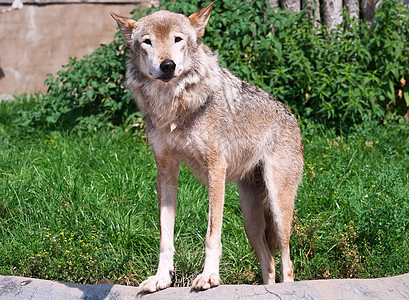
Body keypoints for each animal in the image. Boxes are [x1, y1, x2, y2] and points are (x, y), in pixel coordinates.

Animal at [111, 2, 302, 292]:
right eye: (147, 42)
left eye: (177, 39)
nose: (167, 65)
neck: (173, 108)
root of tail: (293, 117)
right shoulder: (165, 171)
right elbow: (165, 237)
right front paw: (161, 279)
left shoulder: (215, 168)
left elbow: (212, 234)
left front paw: (209, 277)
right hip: (250, 220)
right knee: (268, 263)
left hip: (278, 207)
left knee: (287, 261)